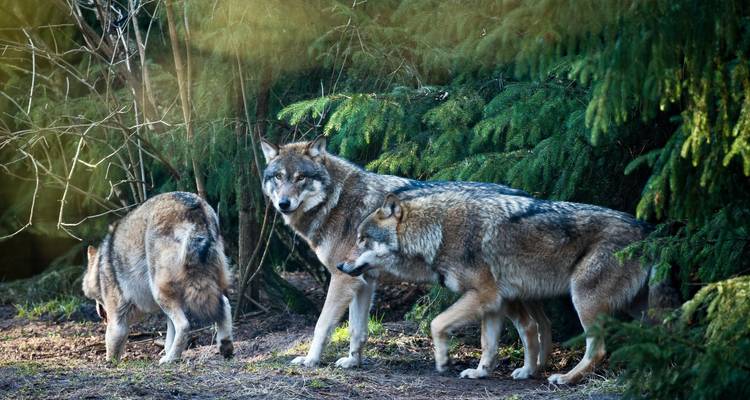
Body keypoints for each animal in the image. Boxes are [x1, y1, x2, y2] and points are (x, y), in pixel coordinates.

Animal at [82, 191, 234, 364]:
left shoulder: (117, 319)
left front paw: (110, 363)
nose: (99, 312)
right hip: (201, 287)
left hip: (159, 292)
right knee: (225, 304)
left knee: (184, 325)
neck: (100, 269)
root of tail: (195, 206)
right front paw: (168, 350)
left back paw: (170, 359)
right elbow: (169, 337)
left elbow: (112, 345)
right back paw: (225, 346)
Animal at [260, 137, 550, 379]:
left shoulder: (343, 278)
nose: (283, 203)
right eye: (278, 177)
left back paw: (528, 371)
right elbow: (357, 329)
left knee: (530, 326)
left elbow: (321, 325)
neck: (336, 201)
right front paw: (353, 361)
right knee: (543, 324)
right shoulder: (363, 280)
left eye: (300, 178)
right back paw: (538, 369)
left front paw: (310, 360)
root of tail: (528, 196)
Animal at [338, 190, 654, 385]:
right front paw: (480, 372)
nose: (340, 266)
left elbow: (437, 323)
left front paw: (443, 361)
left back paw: (565, 378)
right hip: (639, 309)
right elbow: (488, 344)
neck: (436, 233)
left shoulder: (484, 296)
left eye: (362, 239)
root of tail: (647, 230)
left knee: (597, 350)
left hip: (583, 302)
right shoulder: (494, 303)